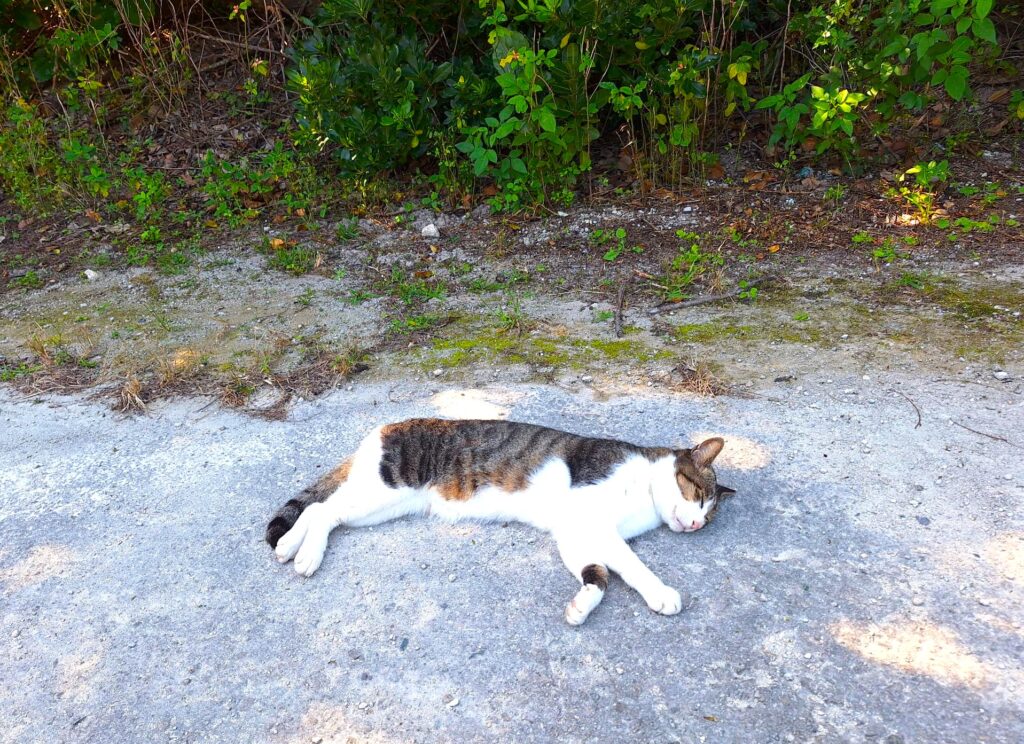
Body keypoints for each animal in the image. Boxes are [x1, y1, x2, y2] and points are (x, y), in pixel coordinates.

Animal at [266, 418, 735, 625]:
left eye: (710, 516)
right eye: (697, 495)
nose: (697, 525)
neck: (644, 492)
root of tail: (384, 427)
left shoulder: (574, 533)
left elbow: (597, 574)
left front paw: (582, 603)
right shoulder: (593, 521)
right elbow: (632, 565)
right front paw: (661, 592)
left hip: (387, 504)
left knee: (321, 508)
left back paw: (290, 545)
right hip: (386, 487)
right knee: (323, 509)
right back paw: (302, 552)